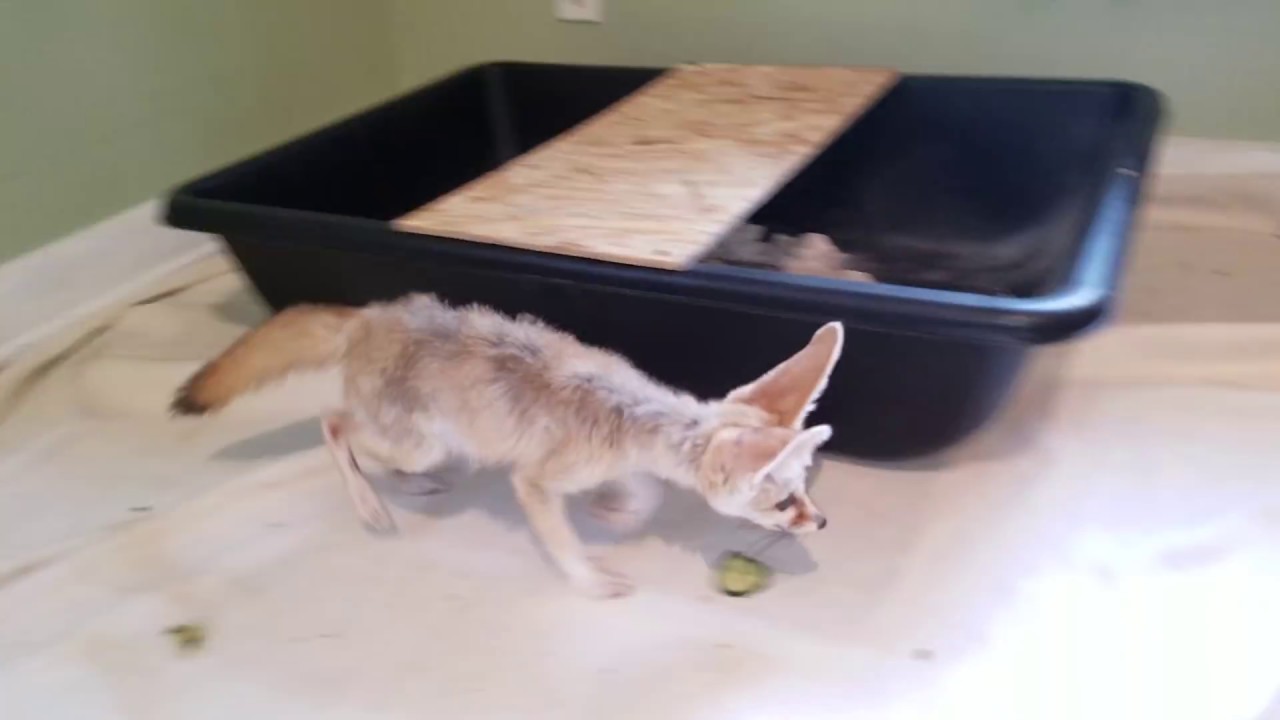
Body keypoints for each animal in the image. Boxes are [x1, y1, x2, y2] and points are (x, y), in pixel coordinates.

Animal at [172, 293, 841, 598]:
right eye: (784, 503)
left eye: (805, 490)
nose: (823, 523)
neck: (631, 414)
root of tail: (369, 316)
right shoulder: (537, 480)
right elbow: (565, 543)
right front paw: (591, 578)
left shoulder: (615, 463)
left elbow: (644, 494)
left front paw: (617, 513)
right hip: (417, 439)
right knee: (333, 423)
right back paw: (369, 502)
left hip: (420, 441)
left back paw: (406, 487)